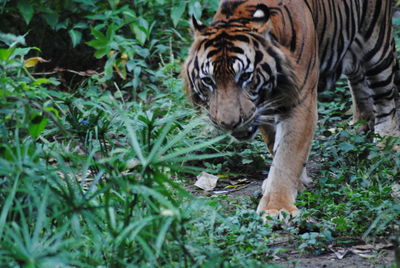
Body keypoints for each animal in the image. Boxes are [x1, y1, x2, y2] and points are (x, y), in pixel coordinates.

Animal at [182, 0, 400, 218]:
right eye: (208, 81)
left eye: (245, 76)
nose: (229, 124)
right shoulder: (263, 110)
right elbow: (275, 147)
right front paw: (297, 183)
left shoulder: (299, 103)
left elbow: (287, 157)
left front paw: (277, 207)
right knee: (358, 80)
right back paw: (358, 129)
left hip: (376, 46)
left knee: (385, 99)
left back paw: (384, 147)